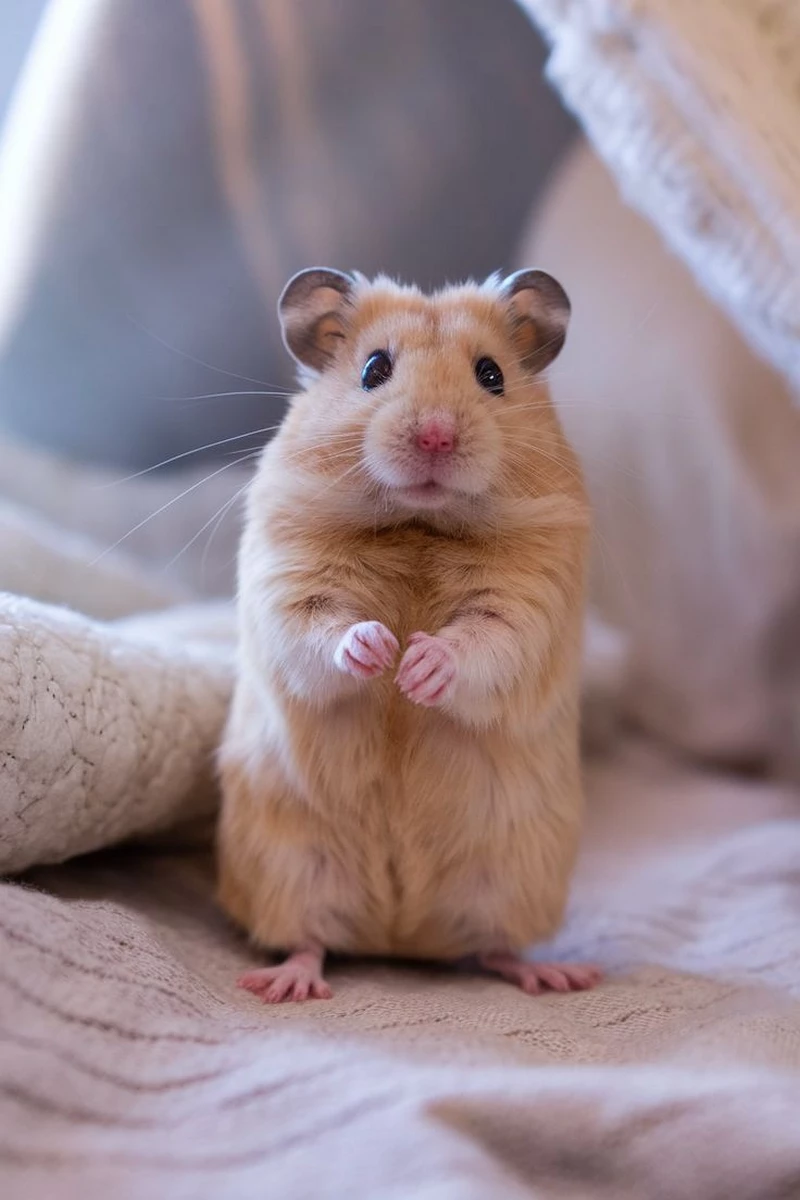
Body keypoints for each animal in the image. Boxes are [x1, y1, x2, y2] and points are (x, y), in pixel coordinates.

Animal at [217, 266, 600, 1002]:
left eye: (490, 375)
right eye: (374, 369)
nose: (436, 438)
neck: (420, 522)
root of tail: (398, 935)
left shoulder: (528, 605)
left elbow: (483, 643)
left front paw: (418, 666)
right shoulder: (291, 586)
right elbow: (323, 628)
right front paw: (380, 650)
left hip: (511, 880)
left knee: (494, 949)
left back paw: (560, 974)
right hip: (290, 867)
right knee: (310, 940)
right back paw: (280, 985)